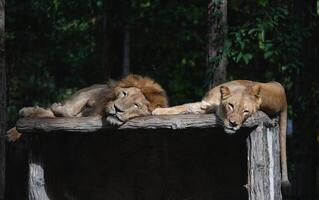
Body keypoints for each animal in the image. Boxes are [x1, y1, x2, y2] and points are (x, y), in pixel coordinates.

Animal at [6, 74, 169, 141]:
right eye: (124, 94)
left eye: (136, 105)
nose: (117, 109)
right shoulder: (88, 96)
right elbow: (64, 111)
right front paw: (57, 108)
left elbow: (57, 114)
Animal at [154, 79, 292, 188]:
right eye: (231, 105)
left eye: (246, 111)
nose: (233, 124)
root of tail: (283, 96)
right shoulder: (205, 105)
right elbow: (184, 106)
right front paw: (159, 111)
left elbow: (187, 106)